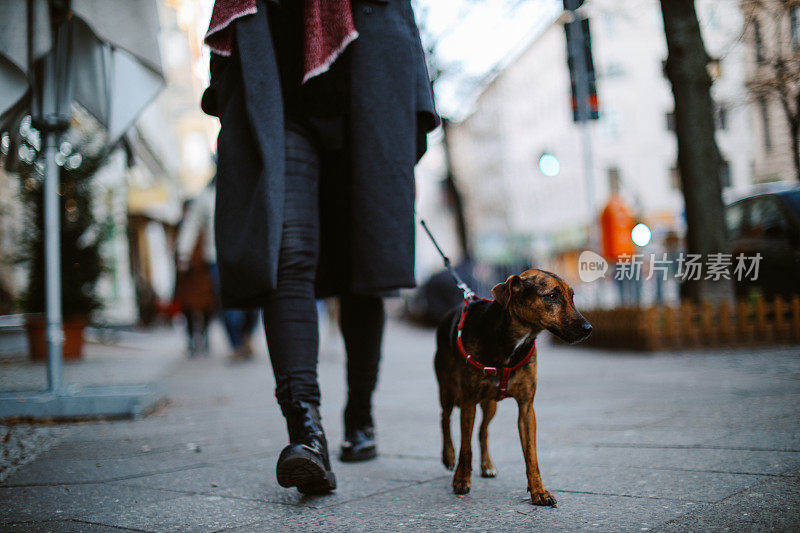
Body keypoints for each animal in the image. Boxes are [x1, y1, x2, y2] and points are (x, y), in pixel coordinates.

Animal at [434, 268, 592, 504]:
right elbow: (465, 447)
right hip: (449, 390)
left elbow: (531, 455)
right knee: (445, 418)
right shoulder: (468, 402)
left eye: (572, 297)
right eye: (552, 296)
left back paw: (487, 465)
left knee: (483, 430)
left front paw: (538, 490)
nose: (588, 329)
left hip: (490, 404)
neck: (514, 341)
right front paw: (461, 479)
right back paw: (448, 455)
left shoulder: (526, 408)